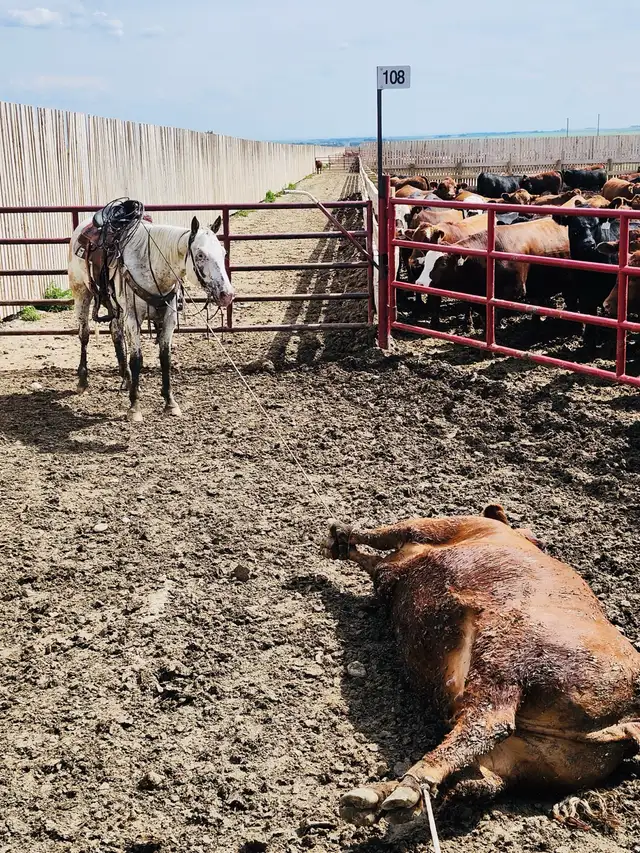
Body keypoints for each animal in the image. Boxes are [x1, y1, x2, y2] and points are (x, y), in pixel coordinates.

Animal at [68, 215, 234, 423]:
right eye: (201, 255)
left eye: (223, 252)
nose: (227, 294)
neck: (152, 265)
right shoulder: (133, 318)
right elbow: (136, 359)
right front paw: (134, 408)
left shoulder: (169, 317)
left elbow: (165, 357)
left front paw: (170, 403)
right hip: (81, 292)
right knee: (84, 335)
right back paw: (83, 381)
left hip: (115, 306)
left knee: (116, 333)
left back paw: (127, 379)